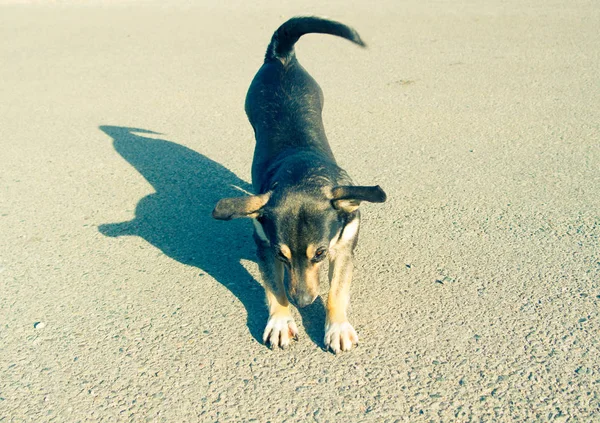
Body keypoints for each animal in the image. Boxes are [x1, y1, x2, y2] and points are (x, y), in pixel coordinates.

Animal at [213, 15, 386, 354]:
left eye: (320, 254)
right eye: (282, 256)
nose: (303, 302)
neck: (301, 172)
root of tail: (281, 56)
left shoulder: (344, 249)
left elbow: (336, 292)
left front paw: (337, 327)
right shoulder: (264, 249)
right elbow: (275, 288)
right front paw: (281, 320)